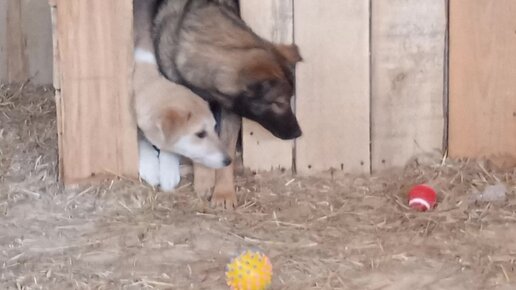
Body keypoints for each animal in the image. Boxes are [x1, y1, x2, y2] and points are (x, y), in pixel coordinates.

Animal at [141, 0, 302, 208]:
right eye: (278, 103)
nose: (298, 133)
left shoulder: (230, 112)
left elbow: (227, 148)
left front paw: (224, 192)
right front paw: (204, 180)